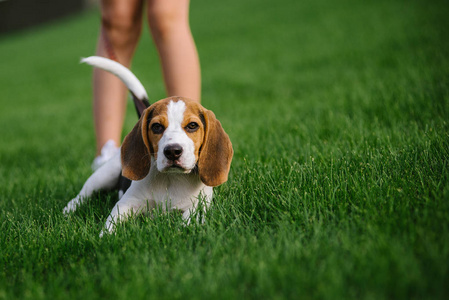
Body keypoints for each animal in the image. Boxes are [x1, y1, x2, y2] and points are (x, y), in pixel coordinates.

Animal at [65, 55, 233, 236]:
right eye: (157, 127)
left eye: (192, 126)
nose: (172, 151)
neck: (172, 178)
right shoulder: (126, 204)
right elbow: (110, 225)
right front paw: (105, 238)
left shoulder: (198, 207)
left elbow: (187, 223)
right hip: (104, 174)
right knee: (83, 194)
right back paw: (69, 209)